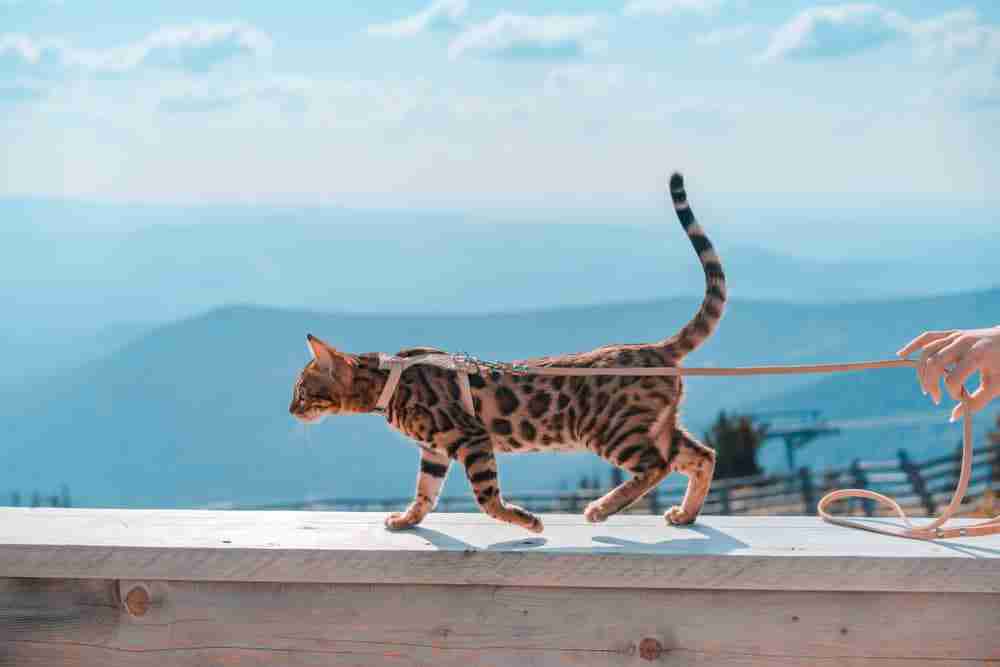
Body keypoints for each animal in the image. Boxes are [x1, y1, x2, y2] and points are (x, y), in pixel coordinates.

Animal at [290, 175, 728, 536]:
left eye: (302, 390)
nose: (291, 411)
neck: (389, 380)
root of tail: (655, 348)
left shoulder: (470, 437)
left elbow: (486, 498)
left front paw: (527, 521)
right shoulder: (433, 451)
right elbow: (425, 493)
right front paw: (406, 520)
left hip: (611, 429)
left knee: (657, 465)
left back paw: (602, 508)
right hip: (655, 425)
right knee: (701, 455)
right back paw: (686, 513)